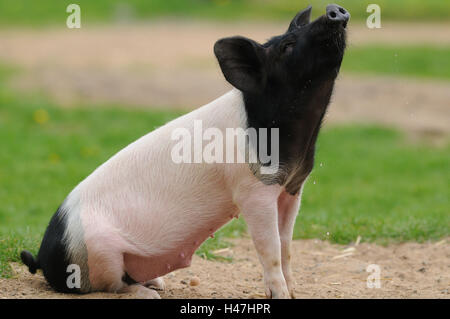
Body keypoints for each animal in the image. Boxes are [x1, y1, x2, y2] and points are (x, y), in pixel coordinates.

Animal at [21, 5, 350, 300]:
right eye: (287, 46)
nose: (334, 9)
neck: (299, 133)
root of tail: (44, 257)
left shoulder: (292, 188)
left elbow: (287, 246)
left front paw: (294, 293)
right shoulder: (251, 191)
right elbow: (269, 248)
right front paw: (280, 295)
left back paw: (158, 284)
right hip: (100, 251)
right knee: (111, 286)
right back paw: (149, 293)